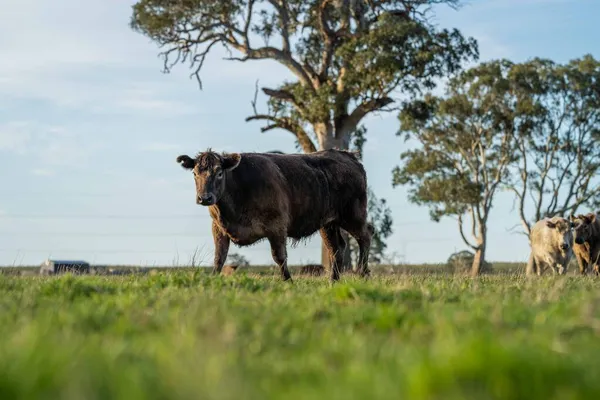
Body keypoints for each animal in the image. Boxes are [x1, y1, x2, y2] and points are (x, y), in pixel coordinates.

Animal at [175, 147, 370, 282]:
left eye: (220, 173)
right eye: (194, 173)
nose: (205, 197)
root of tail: (346, 155)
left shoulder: (277, 226)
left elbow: (280, 257)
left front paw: (289, 282)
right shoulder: (218, 228)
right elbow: (219, 258)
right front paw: (213, 281)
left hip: (354, 215)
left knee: (365, 237)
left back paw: (362, 274)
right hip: (328, 223)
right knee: (336, 249)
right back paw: (333, 281)